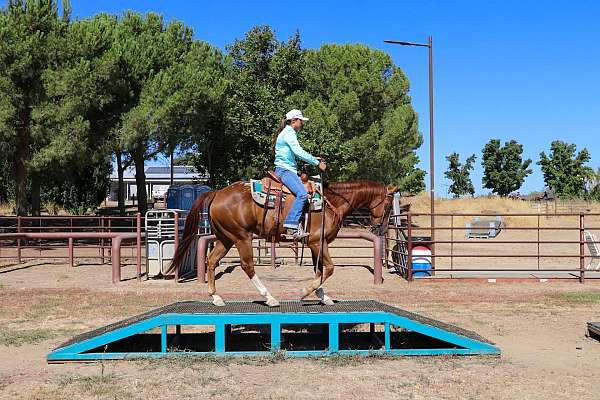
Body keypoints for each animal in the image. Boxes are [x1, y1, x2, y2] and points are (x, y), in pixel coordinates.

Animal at [166, 180, 396, 308]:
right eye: (387, 205)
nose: (380, 230)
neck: (332, 203)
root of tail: (217, 193)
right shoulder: (317, 243)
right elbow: (328, 268)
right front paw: (305, 292)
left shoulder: (315, 245)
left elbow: (319, 270)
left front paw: (323, 296)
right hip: (241, 237)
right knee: (247, 266)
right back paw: (269, 297)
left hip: (225, 238)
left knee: (212, 261)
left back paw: (216, 297)